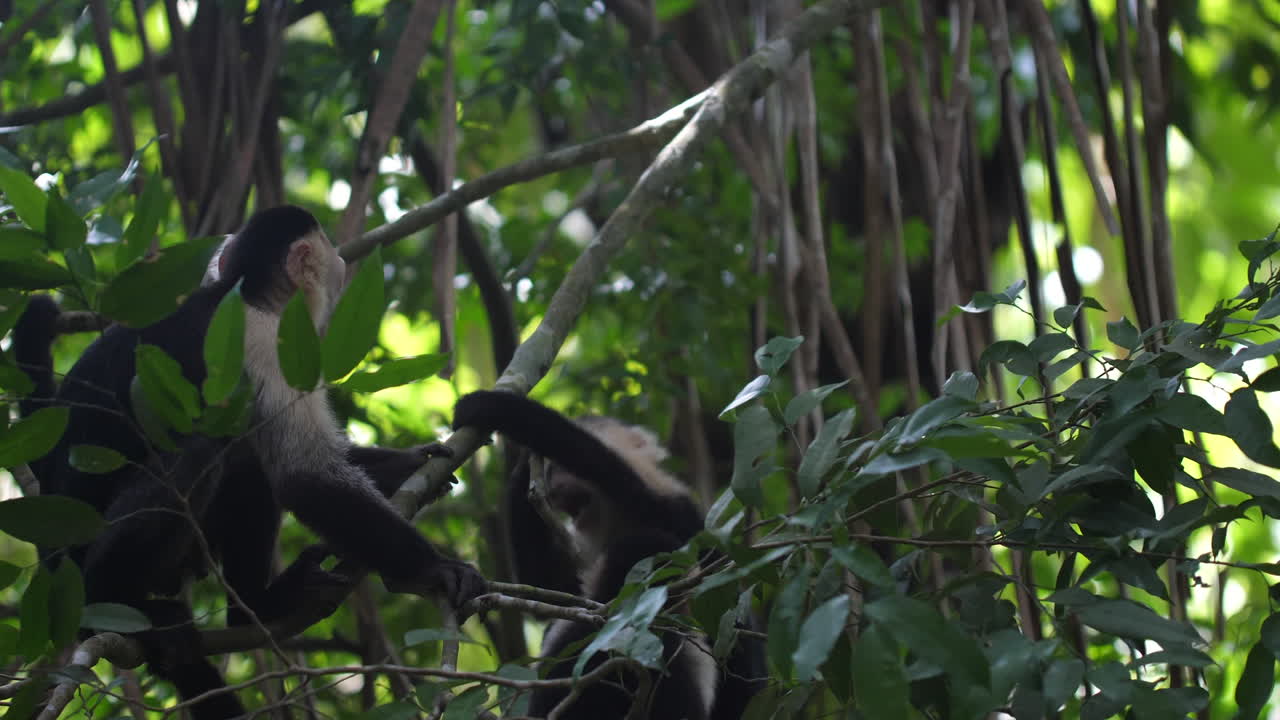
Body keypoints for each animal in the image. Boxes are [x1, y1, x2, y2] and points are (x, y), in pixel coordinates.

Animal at [13, 206, 485, 719]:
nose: (342, 266)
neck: (245, 292)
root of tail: (50, 565)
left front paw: (409, 463)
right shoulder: (261, 338)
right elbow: (303, 476)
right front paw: (436, 569)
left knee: (245, 467)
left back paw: (255, 607)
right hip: (79, 568)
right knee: (204, 454)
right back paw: (124, 601)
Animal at [452, 390, 765, 720]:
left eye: (558, 469)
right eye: (549, 472)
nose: (552, 484)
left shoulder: (668, 505)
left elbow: (602, 465)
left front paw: (499, 409)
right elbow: (551, 592)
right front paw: (522, 468)